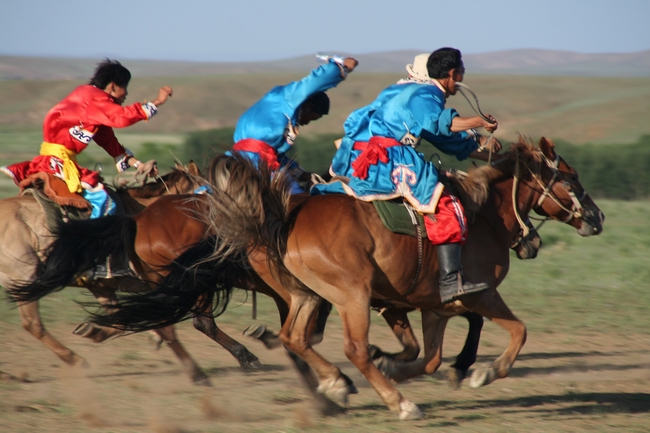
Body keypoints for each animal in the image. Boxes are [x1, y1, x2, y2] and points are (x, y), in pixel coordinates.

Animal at [0, 160, 233, 384]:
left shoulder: (102, 287)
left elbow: (124, 319)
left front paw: (97, 330)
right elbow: (161, 325)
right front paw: (196, 373)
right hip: (24, 277)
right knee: (33, 324)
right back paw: (76, 361)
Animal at [187, 136, 604, 418]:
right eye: (571, 178)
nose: (597, 216)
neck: (484, 216)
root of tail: (287, 216)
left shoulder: (434, 307)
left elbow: (430, 358)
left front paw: (397, 365)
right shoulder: (479, 295)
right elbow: (518, 331)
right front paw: (485, 372)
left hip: (308, 296)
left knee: (296, 338)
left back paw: (335, 382)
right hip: (352, 294)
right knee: (351, 348)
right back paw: (396, 402)